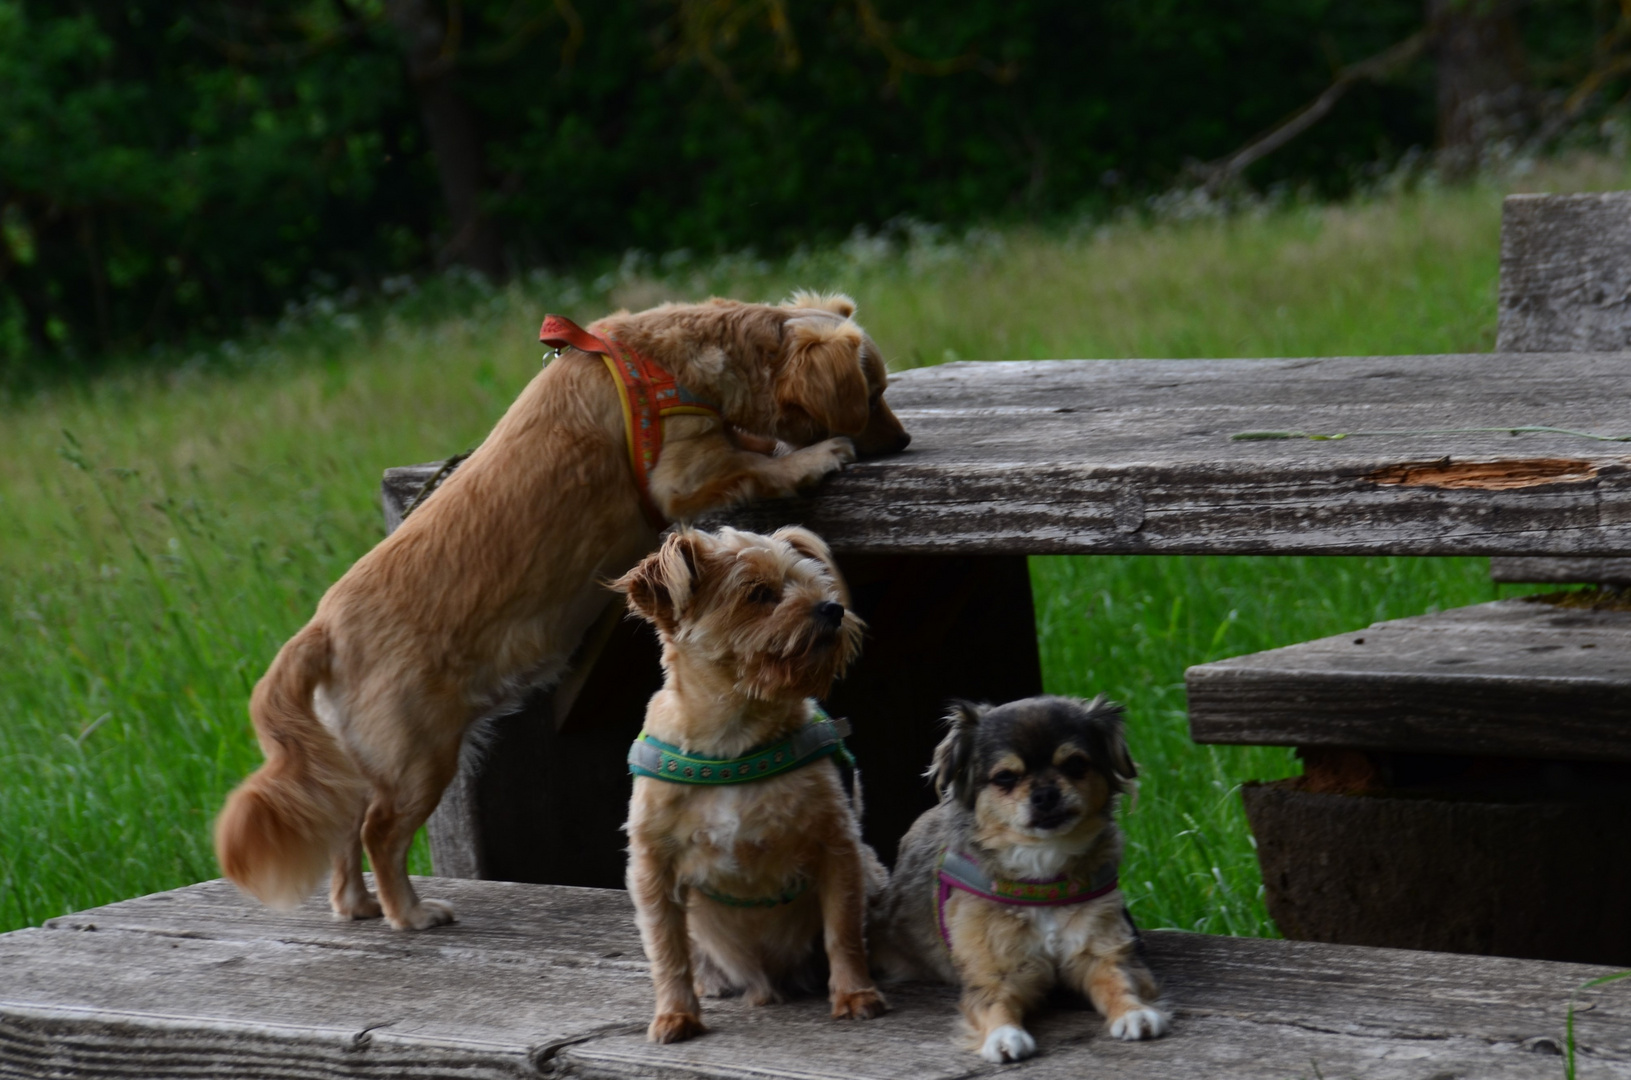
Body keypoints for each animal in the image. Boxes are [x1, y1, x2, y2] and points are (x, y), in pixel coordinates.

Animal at [210, 293, 913, 933]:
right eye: (874, 391)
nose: (904, 440)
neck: (667, 361)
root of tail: (321, 628)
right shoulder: (684, 476)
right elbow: (758, 465)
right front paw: (814, 457)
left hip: (370, 759)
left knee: (346, 827)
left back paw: (356, 904)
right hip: (417, 757)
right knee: (379, 832)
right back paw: (408, 913)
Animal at [613, 528, 893, 1044]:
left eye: (815, 584)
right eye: (759, 594)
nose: (832, 608)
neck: (733, 742)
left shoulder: (838, 848)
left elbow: (842, 929)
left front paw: (855, 994)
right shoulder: (651, 866)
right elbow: (667, 948)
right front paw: (675, 1014)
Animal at [874, 698, 1167, 1063]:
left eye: (1075, 764)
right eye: (1004, 777)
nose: (1045, 793)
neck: (1042, 875)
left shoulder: (1101, 950)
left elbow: (1119, 981)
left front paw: (1133, 1012)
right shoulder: (994, 971)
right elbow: (994, 1005)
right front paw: (1003, 1036)